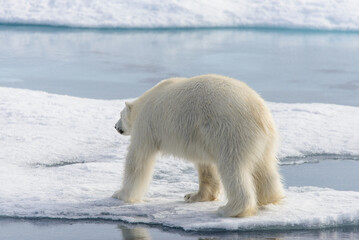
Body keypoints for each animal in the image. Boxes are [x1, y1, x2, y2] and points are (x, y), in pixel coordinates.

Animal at [114, 74, 286, 218]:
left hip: (231, 133)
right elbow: (206, 167)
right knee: (265, 168)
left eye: (120, 115)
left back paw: (230, 209)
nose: (116, 127)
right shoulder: (201, 137)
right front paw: (192, 196)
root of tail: (261, 115)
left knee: (233, 168)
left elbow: (138, 159)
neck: (145, 101)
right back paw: (269, 199)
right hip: (263, 142)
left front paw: (120, 194)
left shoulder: (146, 125)